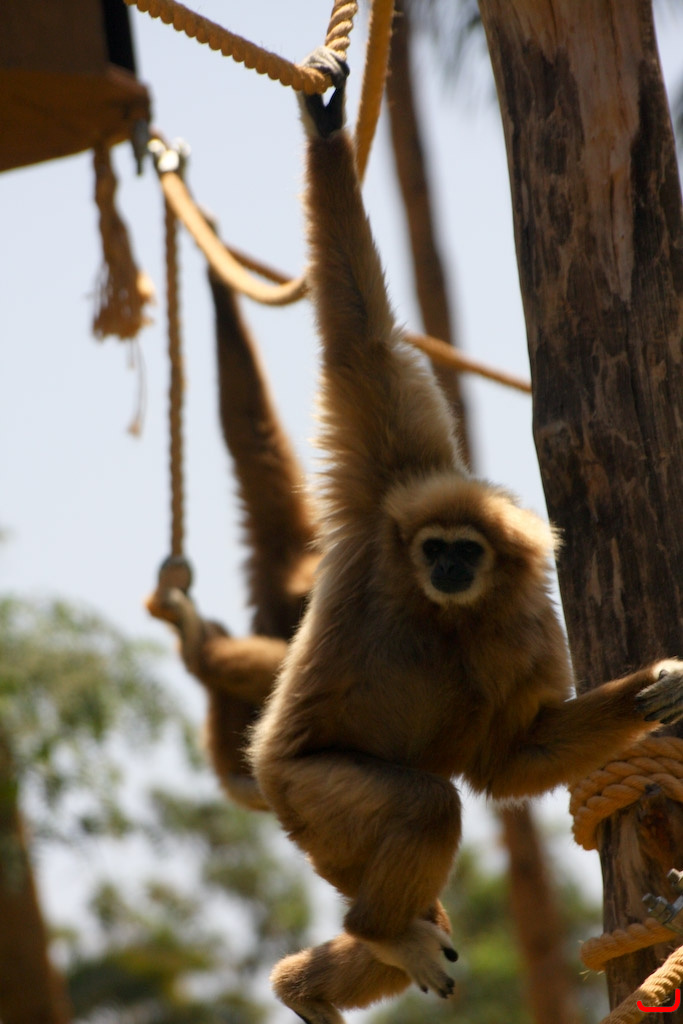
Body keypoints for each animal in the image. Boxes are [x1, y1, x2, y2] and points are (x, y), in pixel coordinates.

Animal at [247, 48, 683, 1024]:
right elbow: (361, 344)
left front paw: (661, 688)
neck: (445, 610)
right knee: (420, 807)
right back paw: (379, 933)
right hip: (302, 790)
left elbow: (507, 756)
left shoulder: (525, 625)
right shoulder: (388, 490)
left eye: (467, 553)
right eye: (433, 547)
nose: (445, 565)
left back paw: (325, 973)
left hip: (320, 834)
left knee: (428, 841)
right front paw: (325, 125)